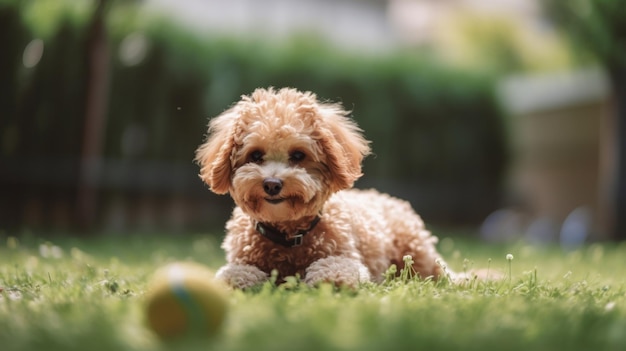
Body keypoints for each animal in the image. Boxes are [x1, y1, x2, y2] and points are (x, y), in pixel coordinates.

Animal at [194, 88, 448, 288]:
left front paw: (330, 279)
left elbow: (335, 268)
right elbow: (234, 273)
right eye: (255, 155)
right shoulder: (240, 259)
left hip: (416, 250)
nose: (272, 184)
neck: (289, 236)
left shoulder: (348, 258)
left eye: (298, 155)